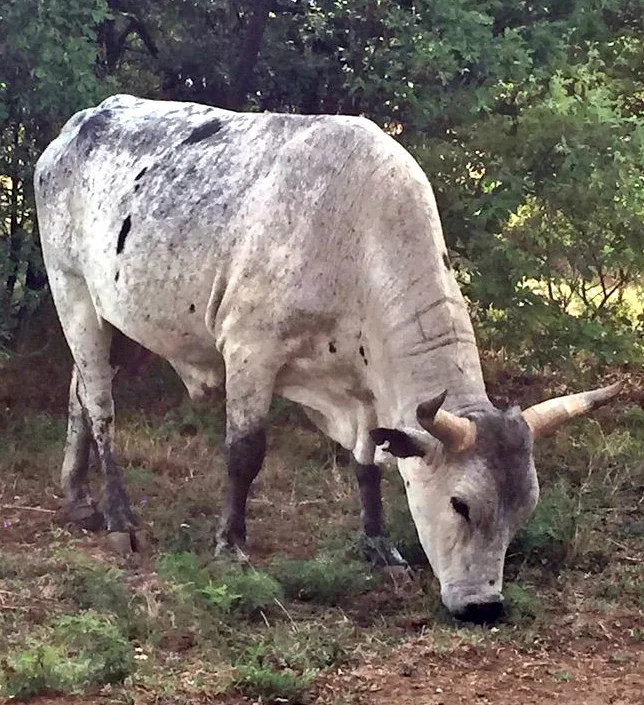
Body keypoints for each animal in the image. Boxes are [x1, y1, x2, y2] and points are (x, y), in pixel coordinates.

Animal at [34, 94, 620, 623]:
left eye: (523, 513)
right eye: (461, 504)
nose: (485, 608)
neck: (358, 239)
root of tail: (76, 125)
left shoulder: (365, 386)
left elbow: (368, 461)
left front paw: (379, 545)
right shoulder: (250, 350)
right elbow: (244, 454)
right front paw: (231, 546)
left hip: (107, 310)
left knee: (80, 391)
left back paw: (77, 496)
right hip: (72, 288)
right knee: (102, 404)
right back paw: (118, 517)